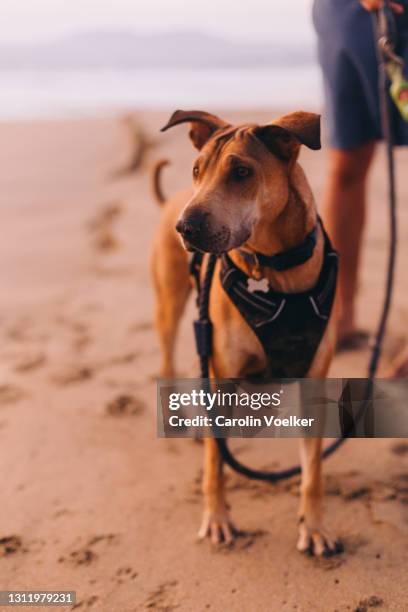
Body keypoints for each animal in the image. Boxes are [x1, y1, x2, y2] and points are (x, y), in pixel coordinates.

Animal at [150, 109, 342, 556]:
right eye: (197, 170)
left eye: (241, 172)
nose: (185, 228)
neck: (275, 267)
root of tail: (171, 201)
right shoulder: (221, 375)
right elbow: (214, 466)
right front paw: (217, 518)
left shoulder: (314, 378)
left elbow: (313, 472)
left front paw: (315, 526)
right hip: (169, 306)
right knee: (166, 359)